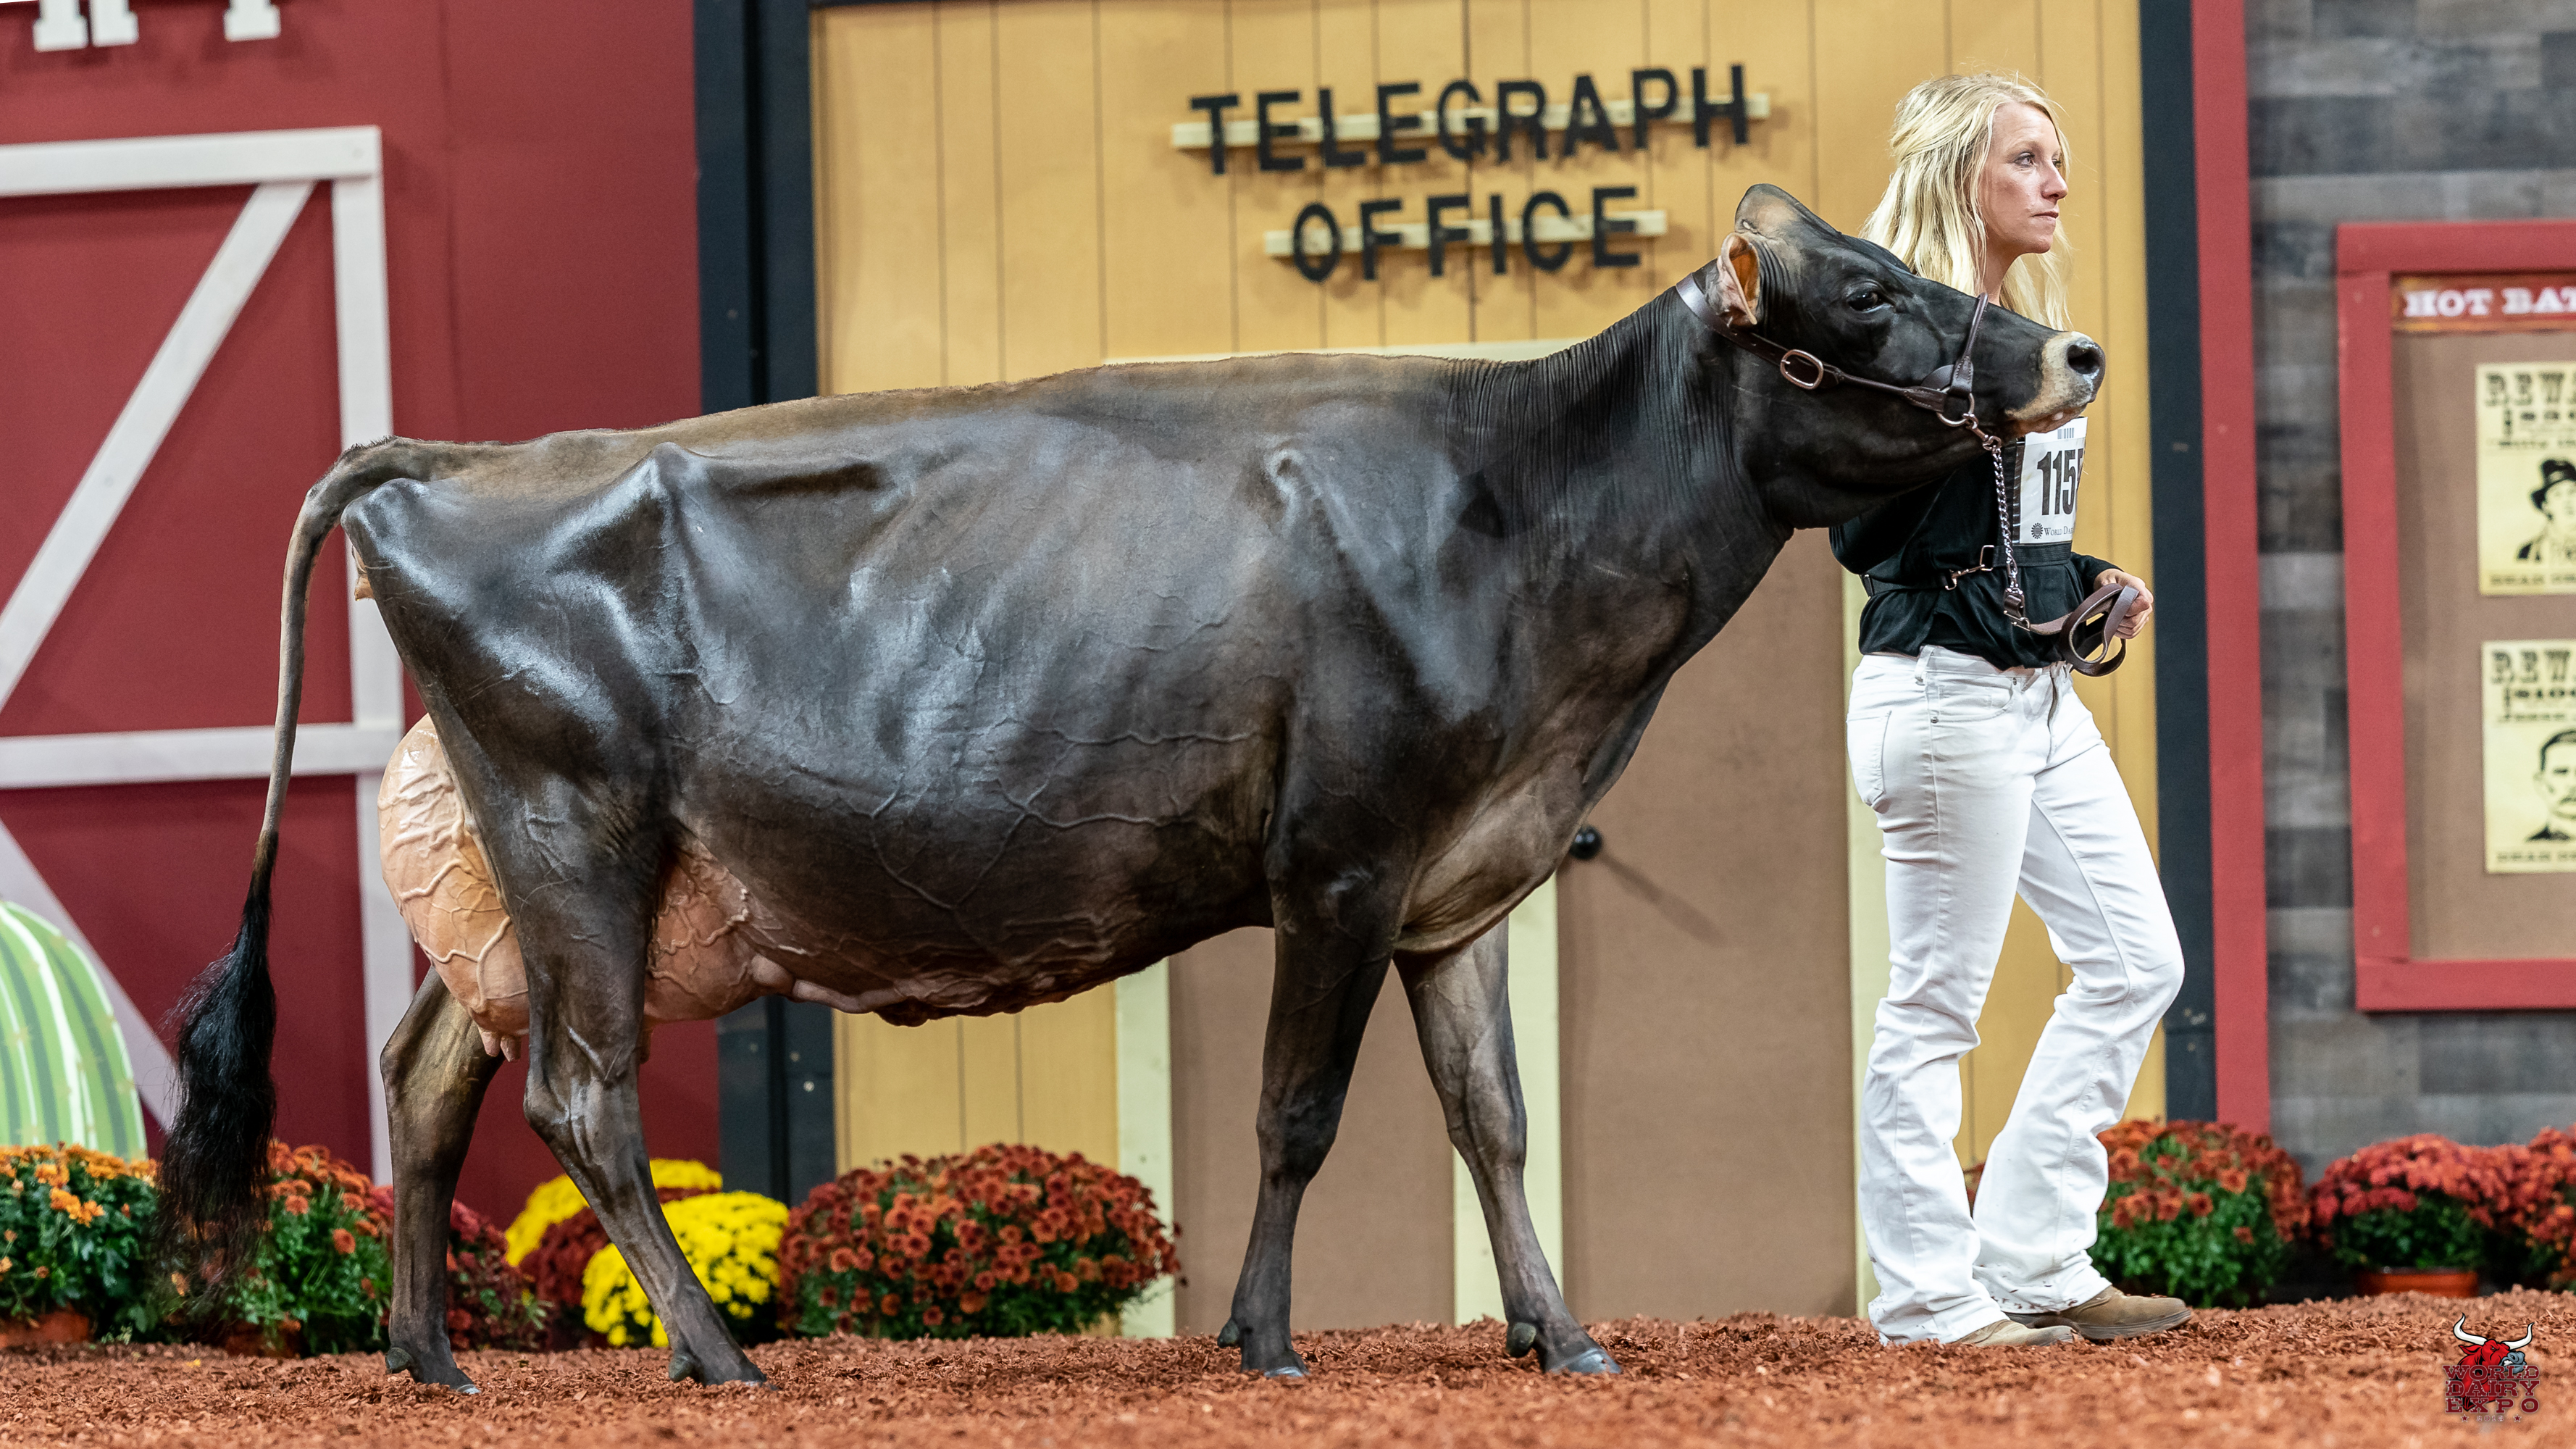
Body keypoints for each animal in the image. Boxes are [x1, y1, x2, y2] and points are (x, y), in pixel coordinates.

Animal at [158, 185, 2101, 1392]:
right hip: (582, 833)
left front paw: (1559, 1334)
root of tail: (456, 460)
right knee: (583, 1097)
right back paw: (715, 1353)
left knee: (429, 1075)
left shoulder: (1464, 876)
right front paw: (1264, 1335)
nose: (2071, 354)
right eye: (1874, 291)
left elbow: (1491, 1116)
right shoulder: (1343, 859)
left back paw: (431, 1355)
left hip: (508, 873)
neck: (1528, 531)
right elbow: (1297, 1113)